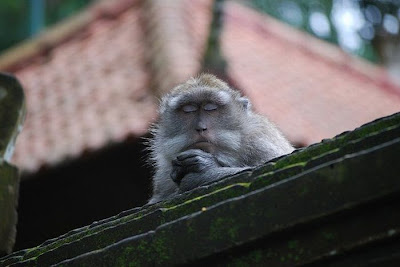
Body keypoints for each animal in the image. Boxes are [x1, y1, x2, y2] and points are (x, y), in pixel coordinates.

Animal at [147, 74, 294, 204]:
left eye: (210, 108)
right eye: (189, 110)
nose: (200, 127)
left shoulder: (260, 141)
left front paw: (206, 167)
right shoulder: (163, 174)